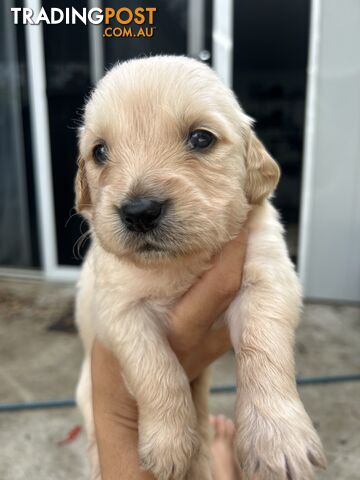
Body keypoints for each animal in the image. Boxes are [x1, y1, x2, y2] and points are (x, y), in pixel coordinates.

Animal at [90, 227, 248, 478]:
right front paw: (168, 443)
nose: (140, 217)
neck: (172, 263)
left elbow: (264, 348)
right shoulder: (117, 307)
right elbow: (155, 369)